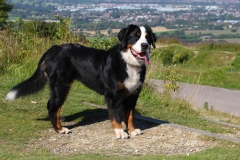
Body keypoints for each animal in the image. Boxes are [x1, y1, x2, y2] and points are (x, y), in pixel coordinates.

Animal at [6, 24, 158, 139]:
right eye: (135, 36)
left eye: (147, 38)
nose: (145, 45)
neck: (128, 63)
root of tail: (53, 49)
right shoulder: (113, 95)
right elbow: (116, 115)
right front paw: (120, 132)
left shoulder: (133, 94)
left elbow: (130, 115)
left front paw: (132, 130)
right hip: (61, 85)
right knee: (53, 107)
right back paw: (60, 129)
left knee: (53, 106)